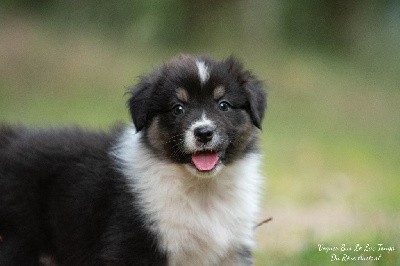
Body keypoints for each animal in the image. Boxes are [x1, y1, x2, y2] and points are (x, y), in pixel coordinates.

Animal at [0, 55, 268, 264]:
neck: (201, 189)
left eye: (223, 105)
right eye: (178, 108)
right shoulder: (132, 245)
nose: (204, 133)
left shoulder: (232, 249)